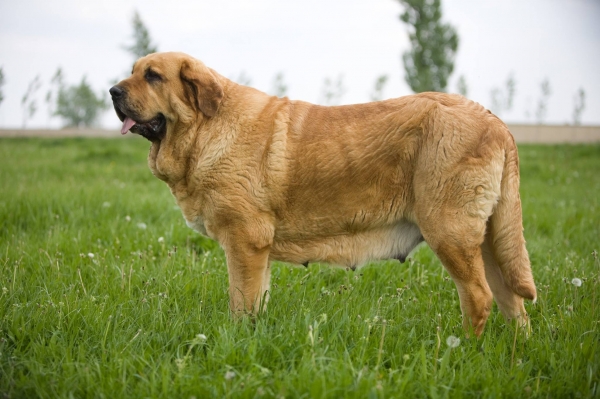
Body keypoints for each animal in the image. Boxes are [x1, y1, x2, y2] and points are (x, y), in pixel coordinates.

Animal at [110, 52, 536, 338]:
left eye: (152, 76)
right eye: (132, 73)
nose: (112, 90)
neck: (204, 129)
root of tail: (495, 121)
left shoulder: (244, 242)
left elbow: (241, 302)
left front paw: (238, 339)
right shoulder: (256, 251)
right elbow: (257, 299)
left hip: (450, 233)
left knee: (479, 297)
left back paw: (461, 348)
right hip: (486, 240)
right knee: (512, 301)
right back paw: (517, 352)